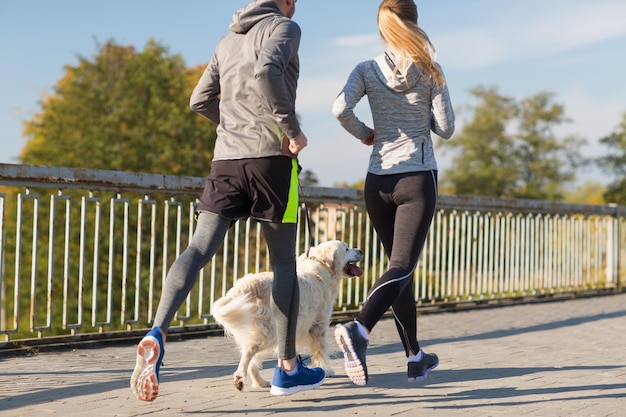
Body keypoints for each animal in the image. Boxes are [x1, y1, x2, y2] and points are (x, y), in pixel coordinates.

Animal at [212, 240, 364, 390]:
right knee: (249, 350)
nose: (361, 251)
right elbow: (320, 351)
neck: (321, 265)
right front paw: (326, 370)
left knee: (252, 360)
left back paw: (261, 382)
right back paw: (239, 377)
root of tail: (249, 284)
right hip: (270, 332)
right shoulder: (318, 327)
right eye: (346, 249)